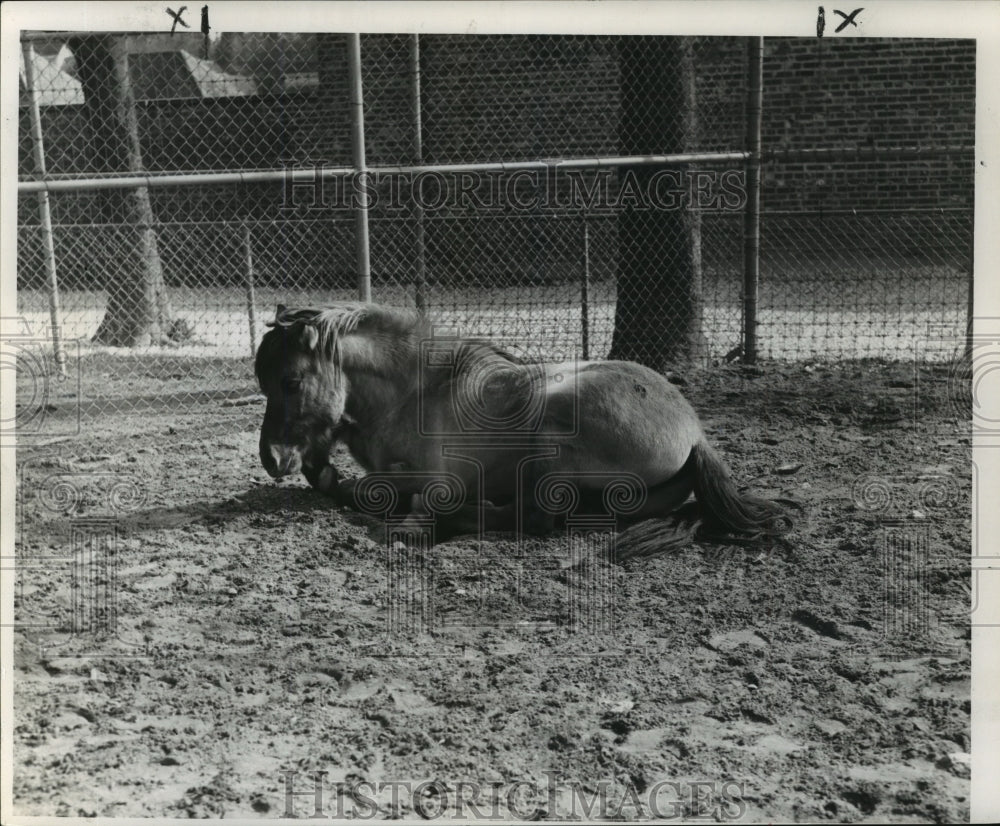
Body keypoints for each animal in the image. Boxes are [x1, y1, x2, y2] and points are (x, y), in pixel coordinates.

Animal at [254, 302, 792, 552]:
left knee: (532, 518)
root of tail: (695, 436)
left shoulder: (440, 477)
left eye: (290, 381)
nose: (272, 459)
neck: (415, 393)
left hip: (553, 431)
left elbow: (380, 489)